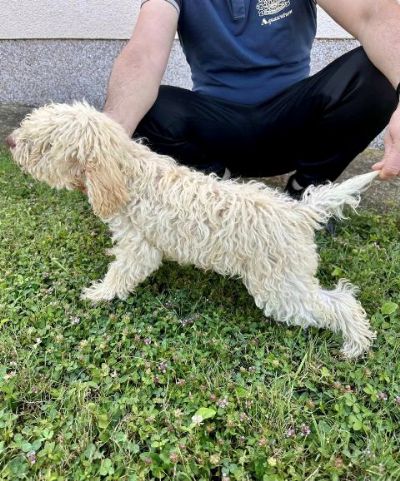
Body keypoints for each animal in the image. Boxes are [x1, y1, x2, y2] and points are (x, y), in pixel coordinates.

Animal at [7, 101, 380, 356]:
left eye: (46, 145)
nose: (10, 140)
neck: (127, 175)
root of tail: (298, 213)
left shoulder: (140, 248)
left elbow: (121, 275)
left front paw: (100, 294)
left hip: (280, 289)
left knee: (341, 303)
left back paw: (356, 344)